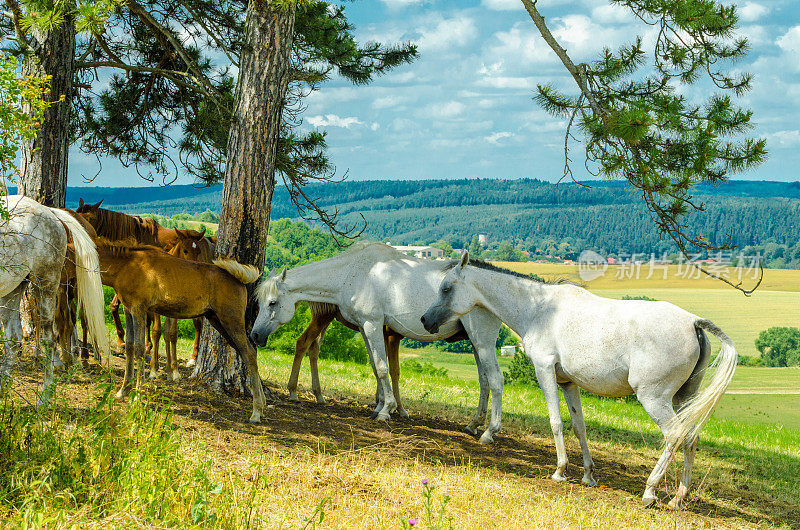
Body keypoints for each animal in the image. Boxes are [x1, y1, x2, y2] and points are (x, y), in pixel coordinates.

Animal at [0, 194, 108, 400]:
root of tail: (50, 212)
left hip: (47, 284)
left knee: (50, 338)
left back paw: (45, 396)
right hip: (12, 290)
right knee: (14, 339)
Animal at [95, 238, 266, 420]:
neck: (127, 264)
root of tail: (239, 281)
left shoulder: (139, 309)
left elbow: (139, 348)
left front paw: (136, 396)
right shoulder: (128, 309)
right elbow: (129, 346)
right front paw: (123, 391)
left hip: (231, 321)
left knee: (249, 353)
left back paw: (256, 411)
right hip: (218, 322)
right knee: (249, 352)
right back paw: (262, 402)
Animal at [250, 241, 506, 440]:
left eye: (272, 302)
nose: (255, 335)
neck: (354, 273)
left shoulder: (373, 325)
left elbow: (383, 368)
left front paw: (386, 410)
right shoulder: (366, 327)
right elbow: (376, 367)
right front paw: (381, 406)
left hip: (482, 340)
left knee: (493, 378)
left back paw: (488, 430)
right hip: (475, 342)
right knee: (485, 380)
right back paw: (474, 424)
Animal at [422, 252, 740, 508]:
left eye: (446, 288)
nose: (426, 320)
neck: (539, 310)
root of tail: (693, 322)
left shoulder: (544, 371)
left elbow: (555, 422)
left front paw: (560, 470)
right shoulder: (568, 383)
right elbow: (579, 426)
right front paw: (588, 475)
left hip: (654, 399)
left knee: (674, 435)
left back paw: (650, 492)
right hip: (685, 398)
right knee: (690, 437)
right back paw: (678, 498)